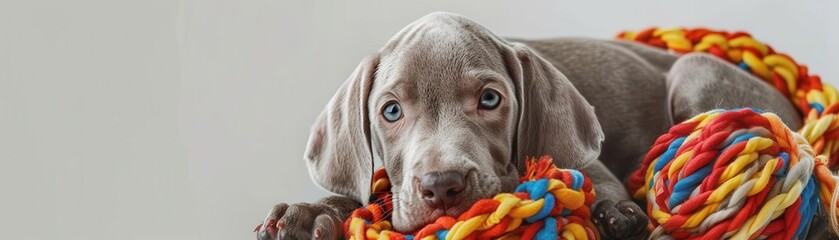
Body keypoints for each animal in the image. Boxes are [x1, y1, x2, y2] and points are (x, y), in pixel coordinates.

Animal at [256, 12, 808, 239]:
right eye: (391, 111)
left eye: (490, 99)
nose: (443, 186)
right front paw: (310, 213)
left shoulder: (592, 166)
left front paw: (617, 216)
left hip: (696, 73)